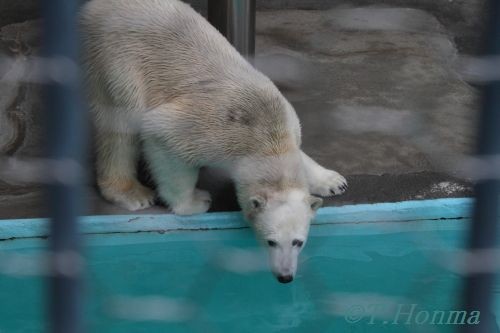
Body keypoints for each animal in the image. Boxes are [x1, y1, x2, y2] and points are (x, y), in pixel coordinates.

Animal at [80, 0, 346, 282]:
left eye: (298, 242)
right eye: (271, 241)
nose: (285, 276)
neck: (265, 135)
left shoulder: (287, 123)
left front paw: (332, 182)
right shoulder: (215, 130)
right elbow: (163, 137)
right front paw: (195, 202)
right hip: (116, 59)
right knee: (119, 126)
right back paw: (133, 194)